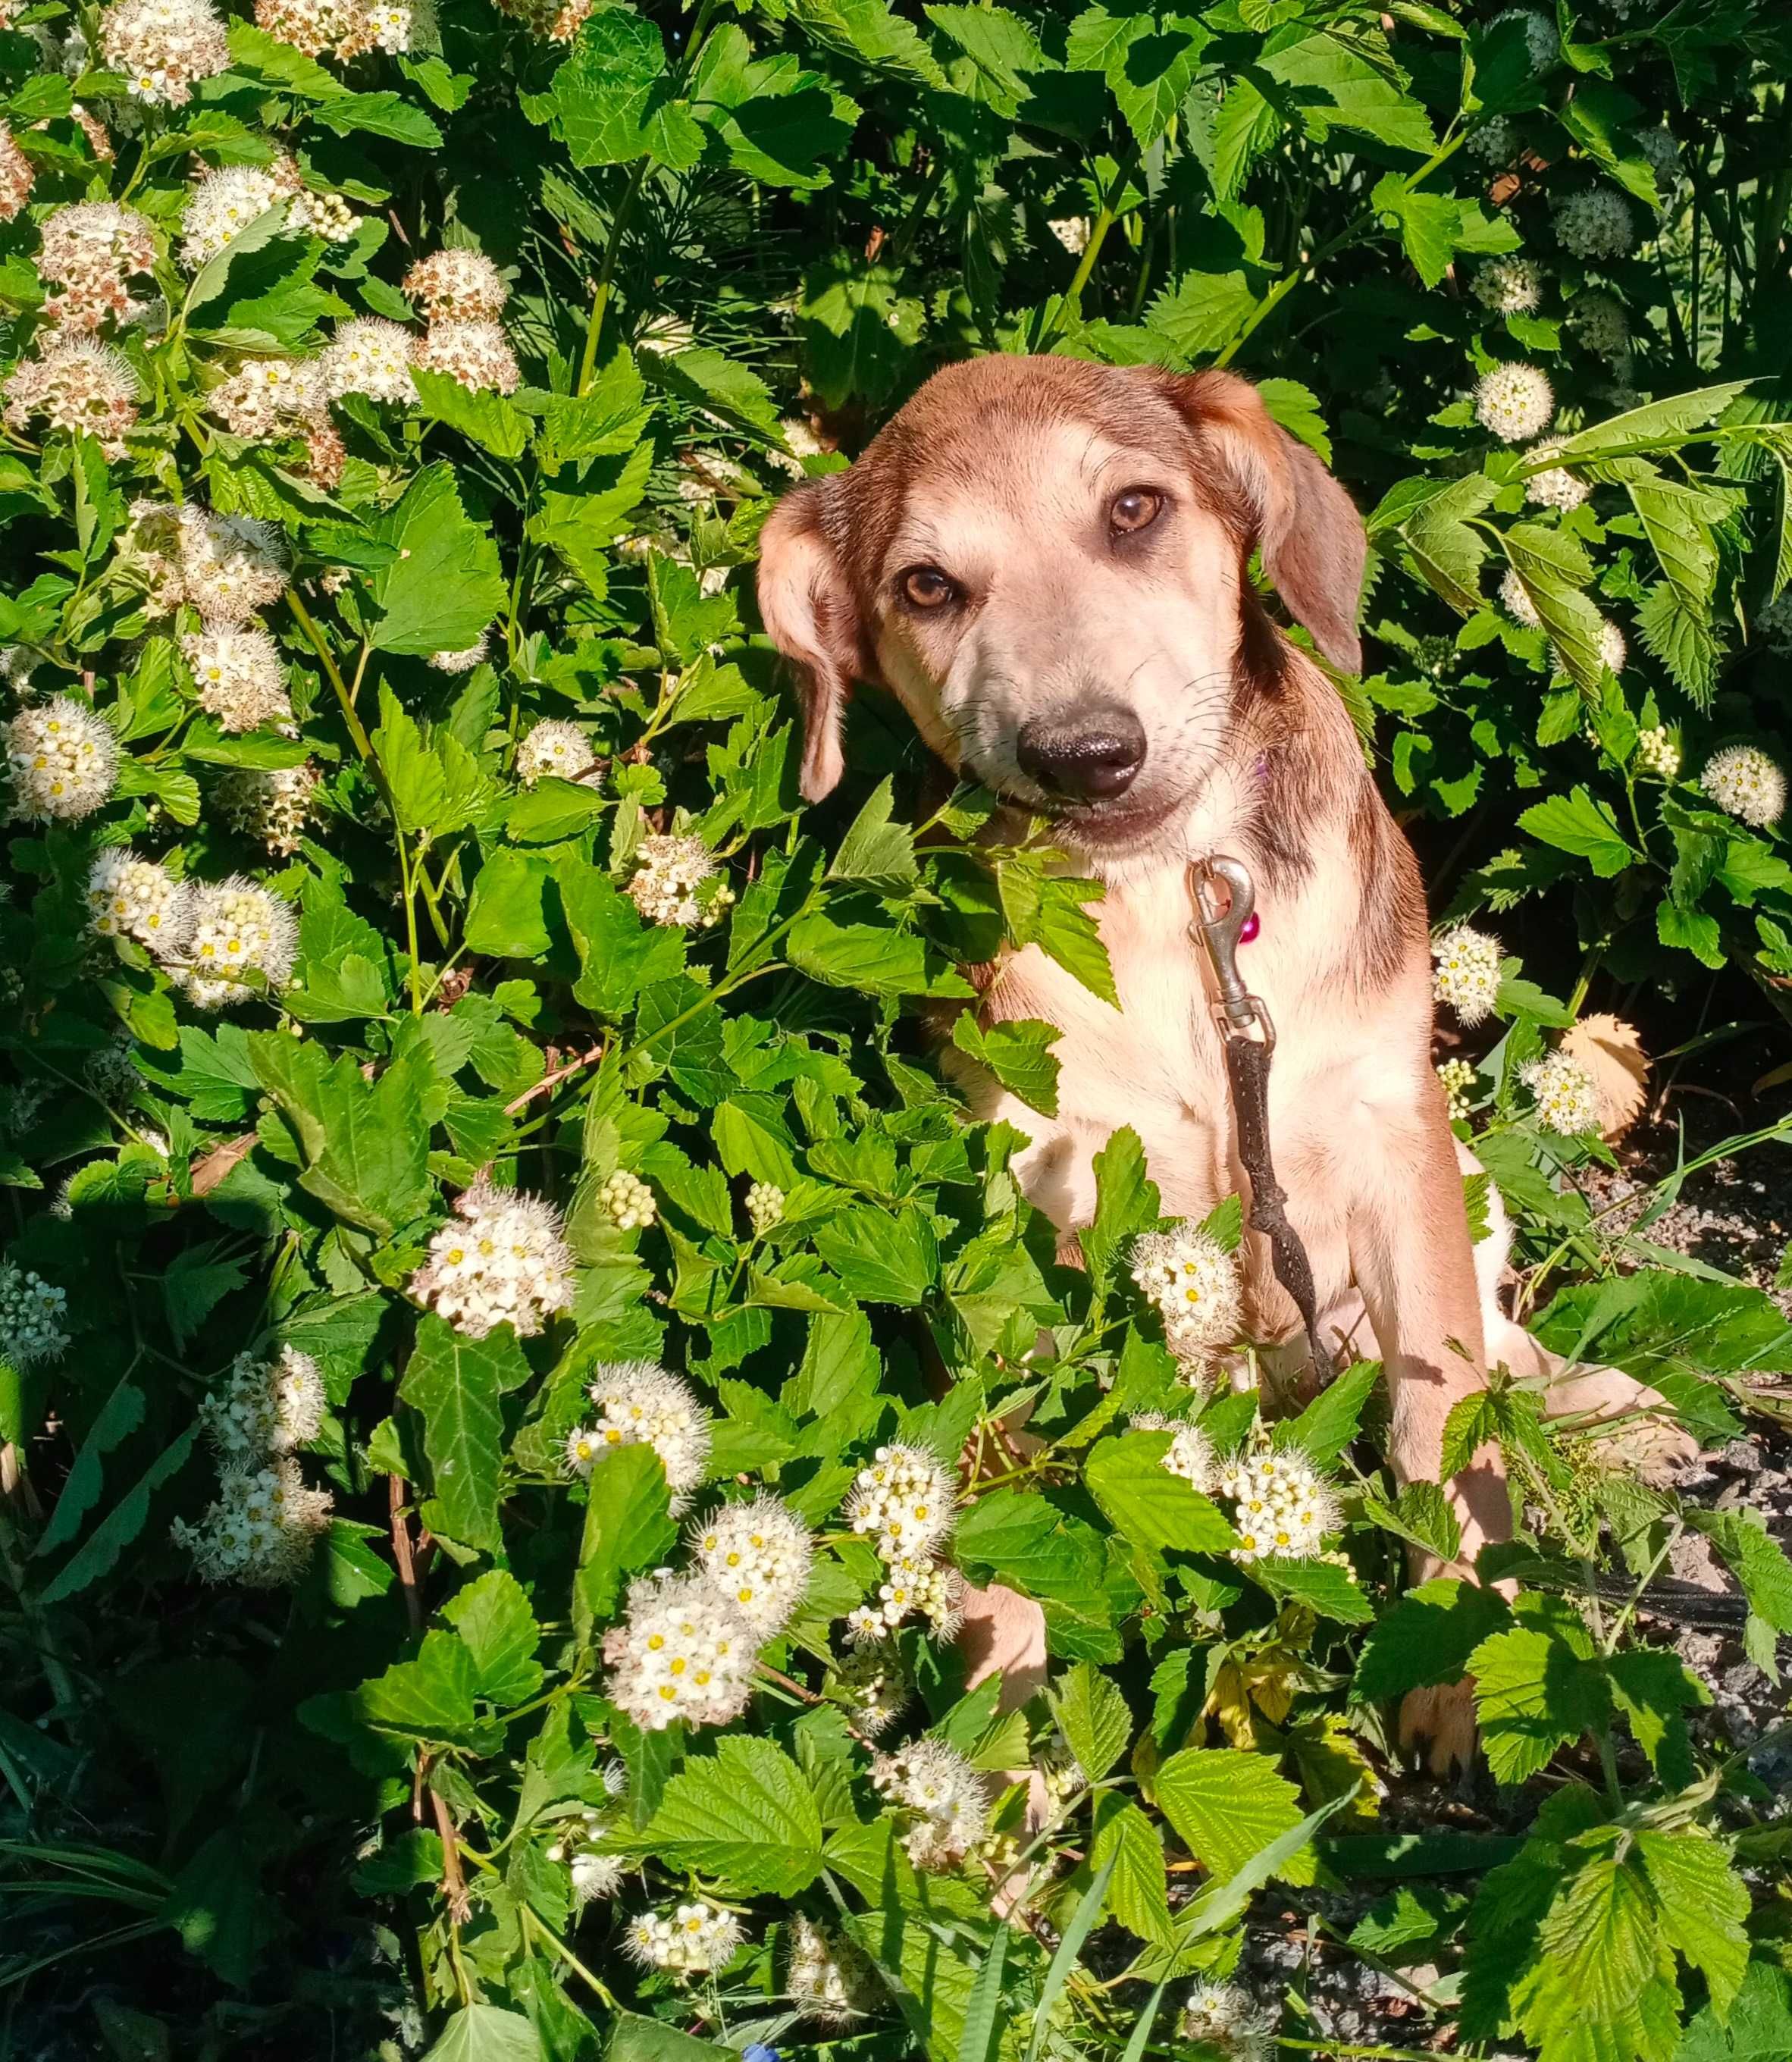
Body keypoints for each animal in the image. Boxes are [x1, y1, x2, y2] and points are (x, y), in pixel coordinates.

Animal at [759, 359, 1690, 1773]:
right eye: (925, 587)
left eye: (1134, 510)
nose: (1085, 753)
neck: (1174, 890)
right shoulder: (1037, 1183)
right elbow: (1014, 1460)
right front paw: (997, 1720)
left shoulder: (1386, 1126)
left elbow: (1447, 1415)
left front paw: (1459, 1651)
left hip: (1455, 1172)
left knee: (1494, 1344)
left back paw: (1613, 1407)